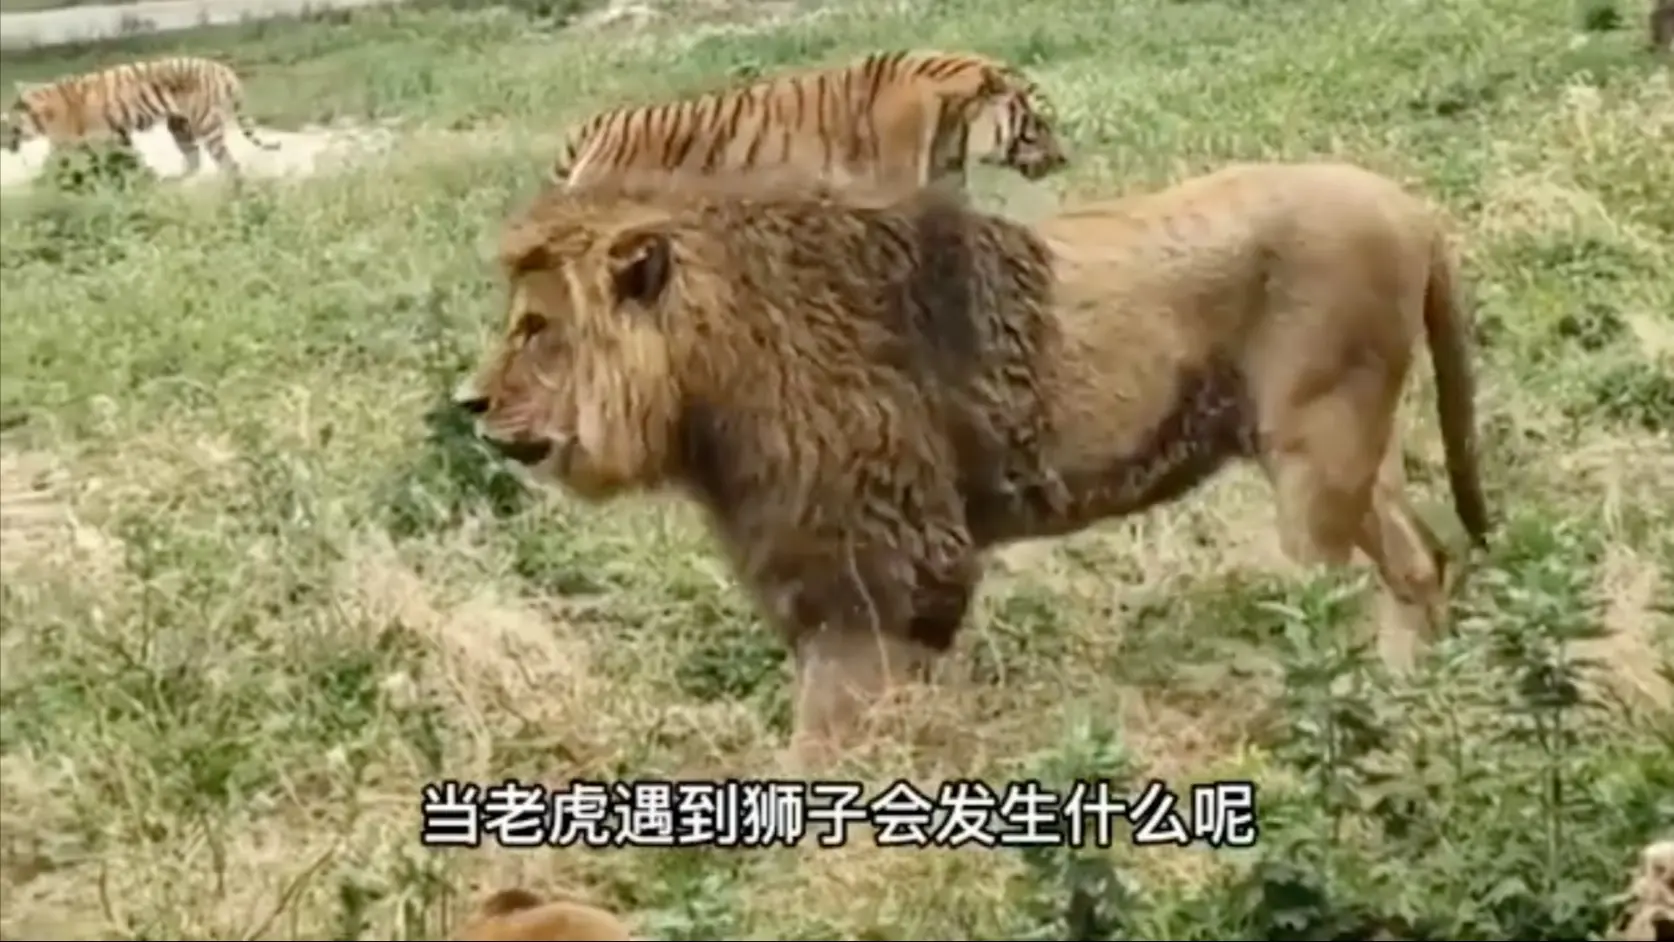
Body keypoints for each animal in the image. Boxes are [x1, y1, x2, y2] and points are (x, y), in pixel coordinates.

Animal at [2, 56, 281, 175]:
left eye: (6, 123)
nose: (3, 142)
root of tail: (223, 69)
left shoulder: (79, 141)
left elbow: (55, 162)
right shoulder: (116, 135)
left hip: (205, 124)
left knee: (227, 163)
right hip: (179, 125)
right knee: (194, 159)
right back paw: (171, 182)